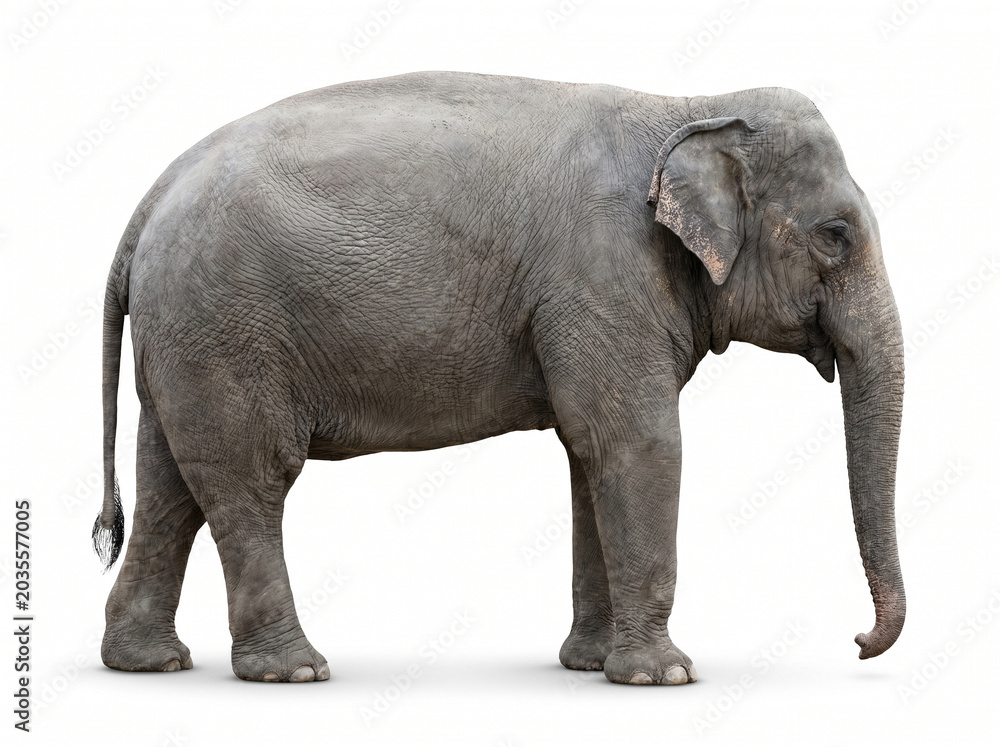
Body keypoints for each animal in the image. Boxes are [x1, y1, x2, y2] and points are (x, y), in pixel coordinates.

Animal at [93, 71, 905, 685]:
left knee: (170, 486)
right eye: (835, 235)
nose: (858, 643)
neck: (688, 106)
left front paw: (590, 666)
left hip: (184, 338)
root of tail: (147, 202)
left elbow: (590, 454)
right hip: (225, 327)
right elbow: (639, 444)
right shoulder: (602, 277)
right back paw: (293, 671)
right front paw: (664, 676)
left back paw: (148, 663)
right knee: (251, 477)